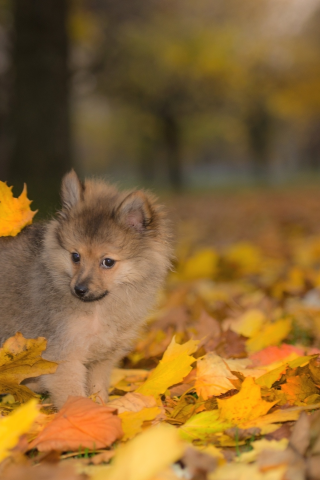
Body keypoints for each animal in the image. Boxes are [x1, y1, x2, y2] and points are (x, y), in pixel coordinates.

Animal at [0, 171, 172, 406]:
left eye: (108, 262)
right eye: (75, 256)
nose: (79, 289)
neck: (98, 310)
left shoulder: (102, 358)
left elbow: (97, 391)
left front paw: (102, 410)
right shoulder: (64, 356)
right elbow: (74, 397)